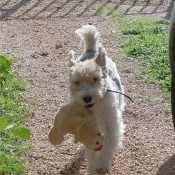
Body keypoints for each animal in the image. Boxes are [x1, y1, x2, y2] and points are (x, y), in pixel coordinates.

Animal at [68, 25, 126, 175]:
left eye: (95, 78)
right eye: (77, 82)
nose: (87, 98)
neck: (96, 108)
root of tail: (91, 50)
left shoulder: (113, 127)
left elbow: (107, 146)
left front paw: (102, 165)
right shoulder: (89, 130)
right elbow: (91, 153)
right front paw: (94, 168)